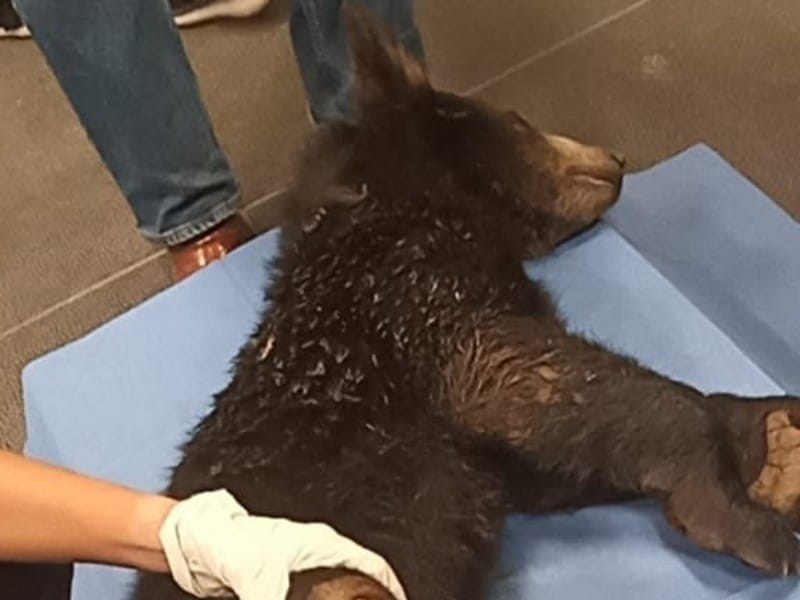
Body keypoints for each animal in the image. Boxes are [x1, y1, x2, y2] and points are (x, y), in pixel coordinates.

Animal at [134, 3, 800, 600]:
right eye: (520, 119)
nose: (617, 157)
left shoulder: (482, 450)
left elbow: (553, 456)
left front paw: (773, 446)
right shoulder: (411, 293)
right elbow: (528, 375)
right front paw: (739, 509)